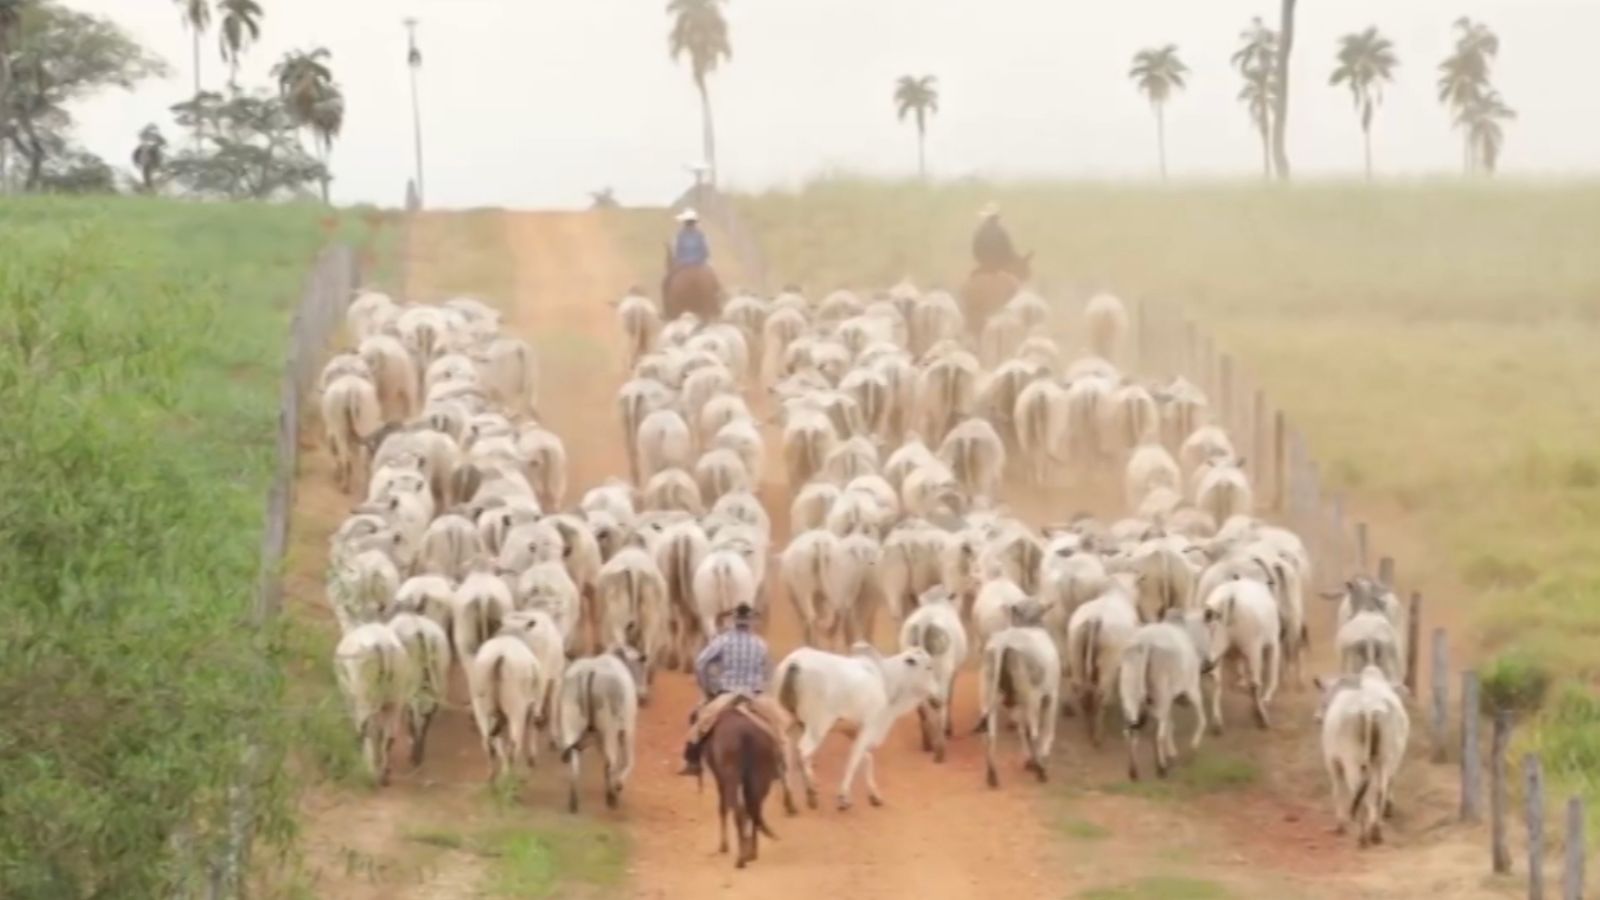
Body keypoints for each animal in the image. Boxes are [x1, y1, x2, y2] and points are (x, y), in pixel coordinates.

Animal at [707, 704, 787, 864]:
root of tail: (746, 735)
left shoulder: (720, 778)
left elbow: (723, 808)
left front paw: (724, 847)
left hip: (733, 779)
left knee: (740, 811)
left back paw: (741, 859)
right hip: (759, 780)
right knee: (753, 809)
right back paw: (751, 853)